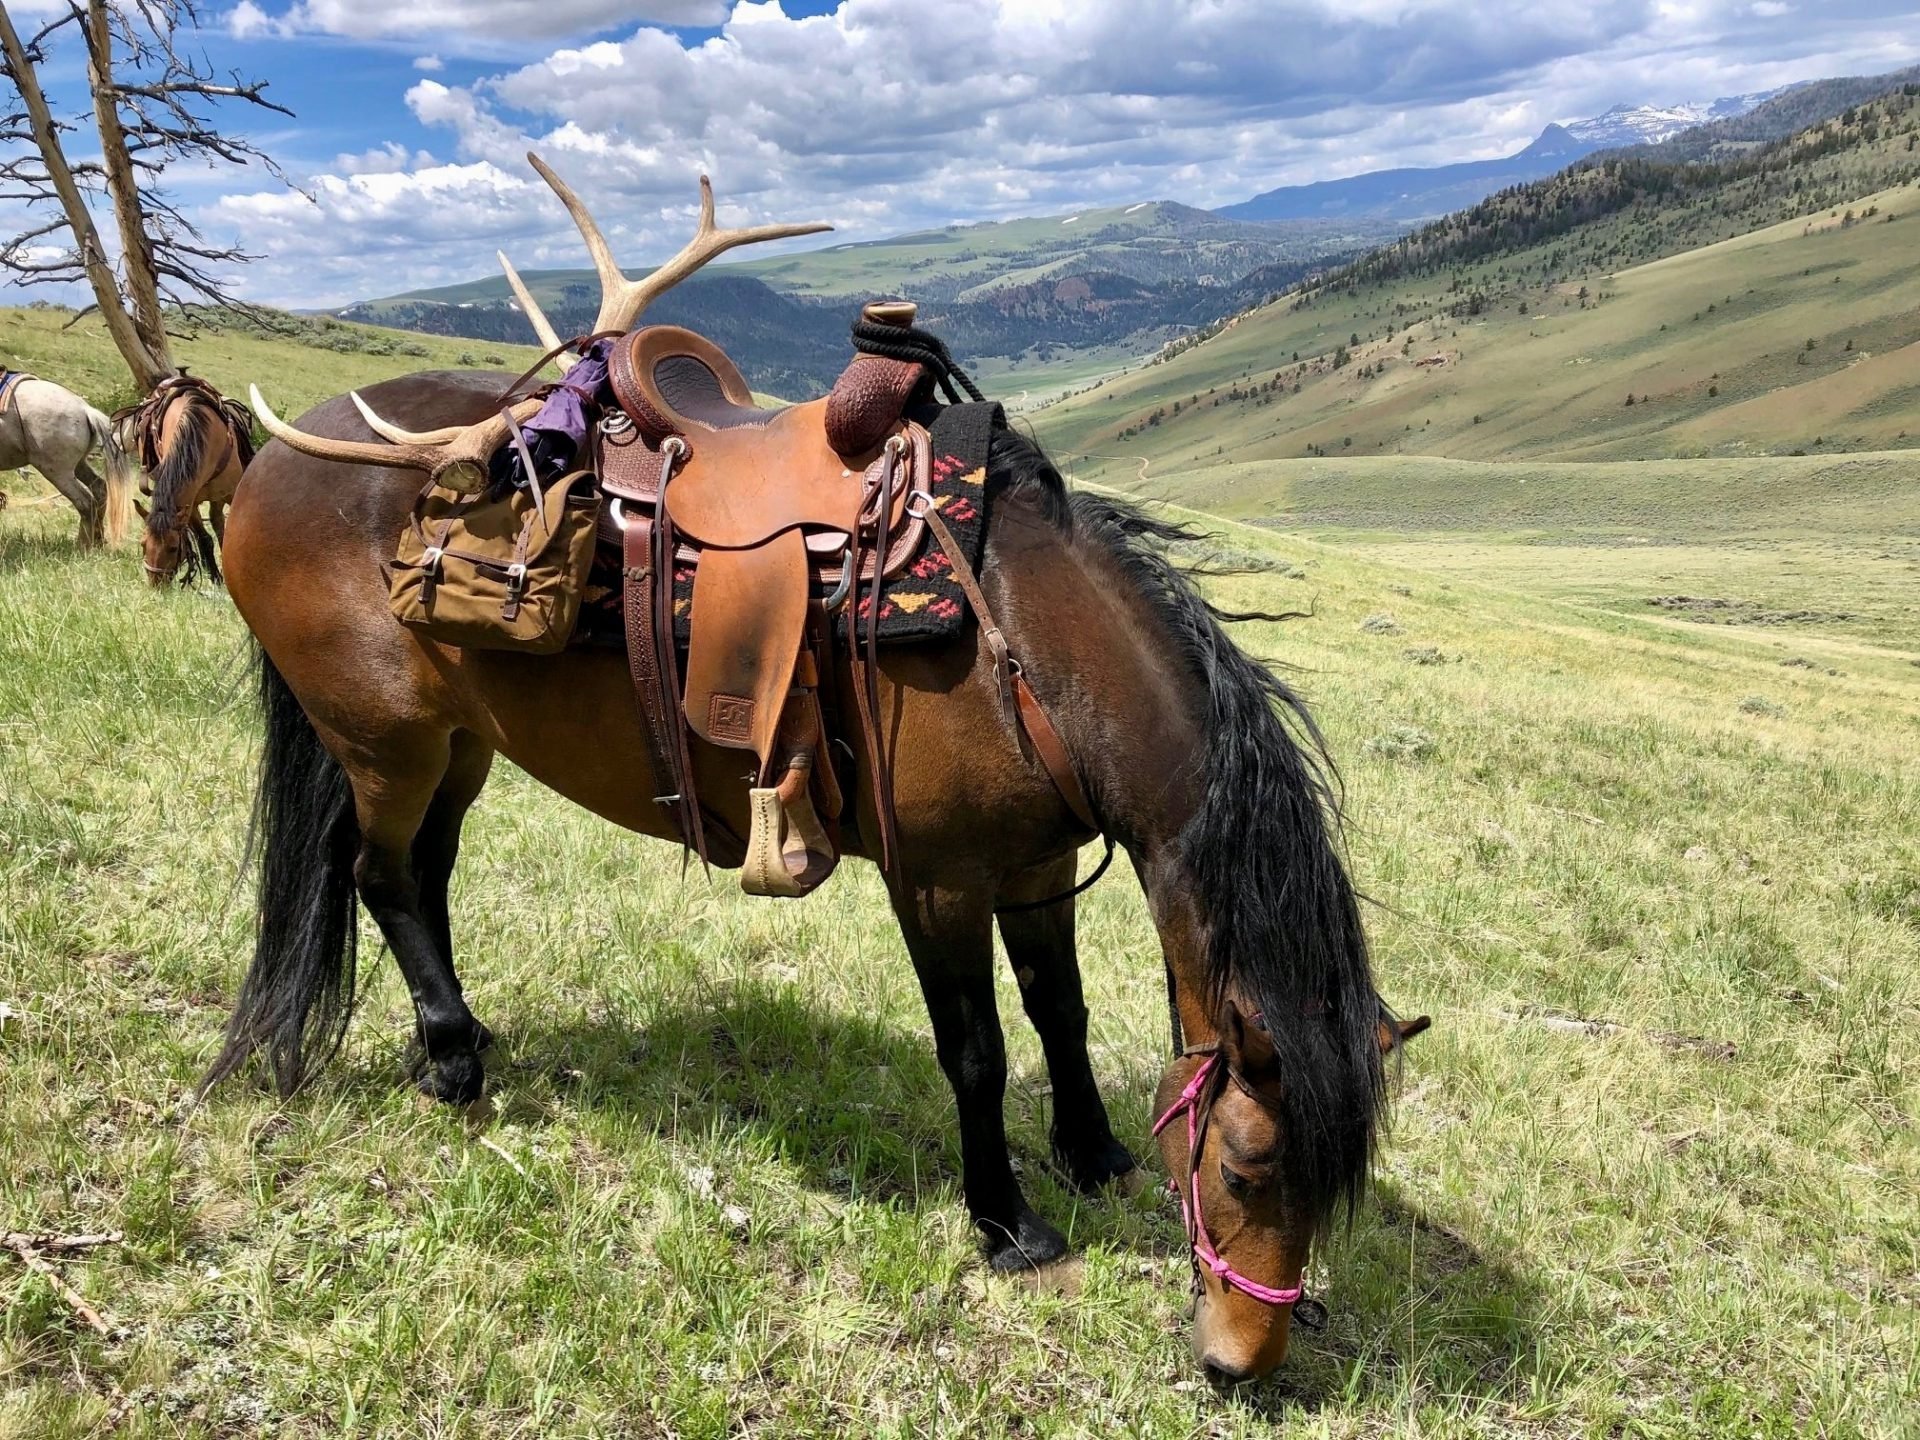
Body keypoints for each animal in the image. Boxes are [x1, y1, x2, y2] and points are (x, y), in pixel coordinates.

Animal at [0, 374, 137, 549]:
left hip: (58, 472)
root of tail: (85, 410)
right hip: (78, 465)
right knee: (99, 489)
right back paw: (97, 540)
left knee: (85, 502)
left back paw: (83, 546)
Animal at [116, 380, 255, 595]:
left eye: (173, 547)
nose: (157, 585)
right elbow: (204, 539)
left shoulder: (233, 494)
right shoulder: (190, 504)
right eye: (143, 544)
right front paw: (217, 579)